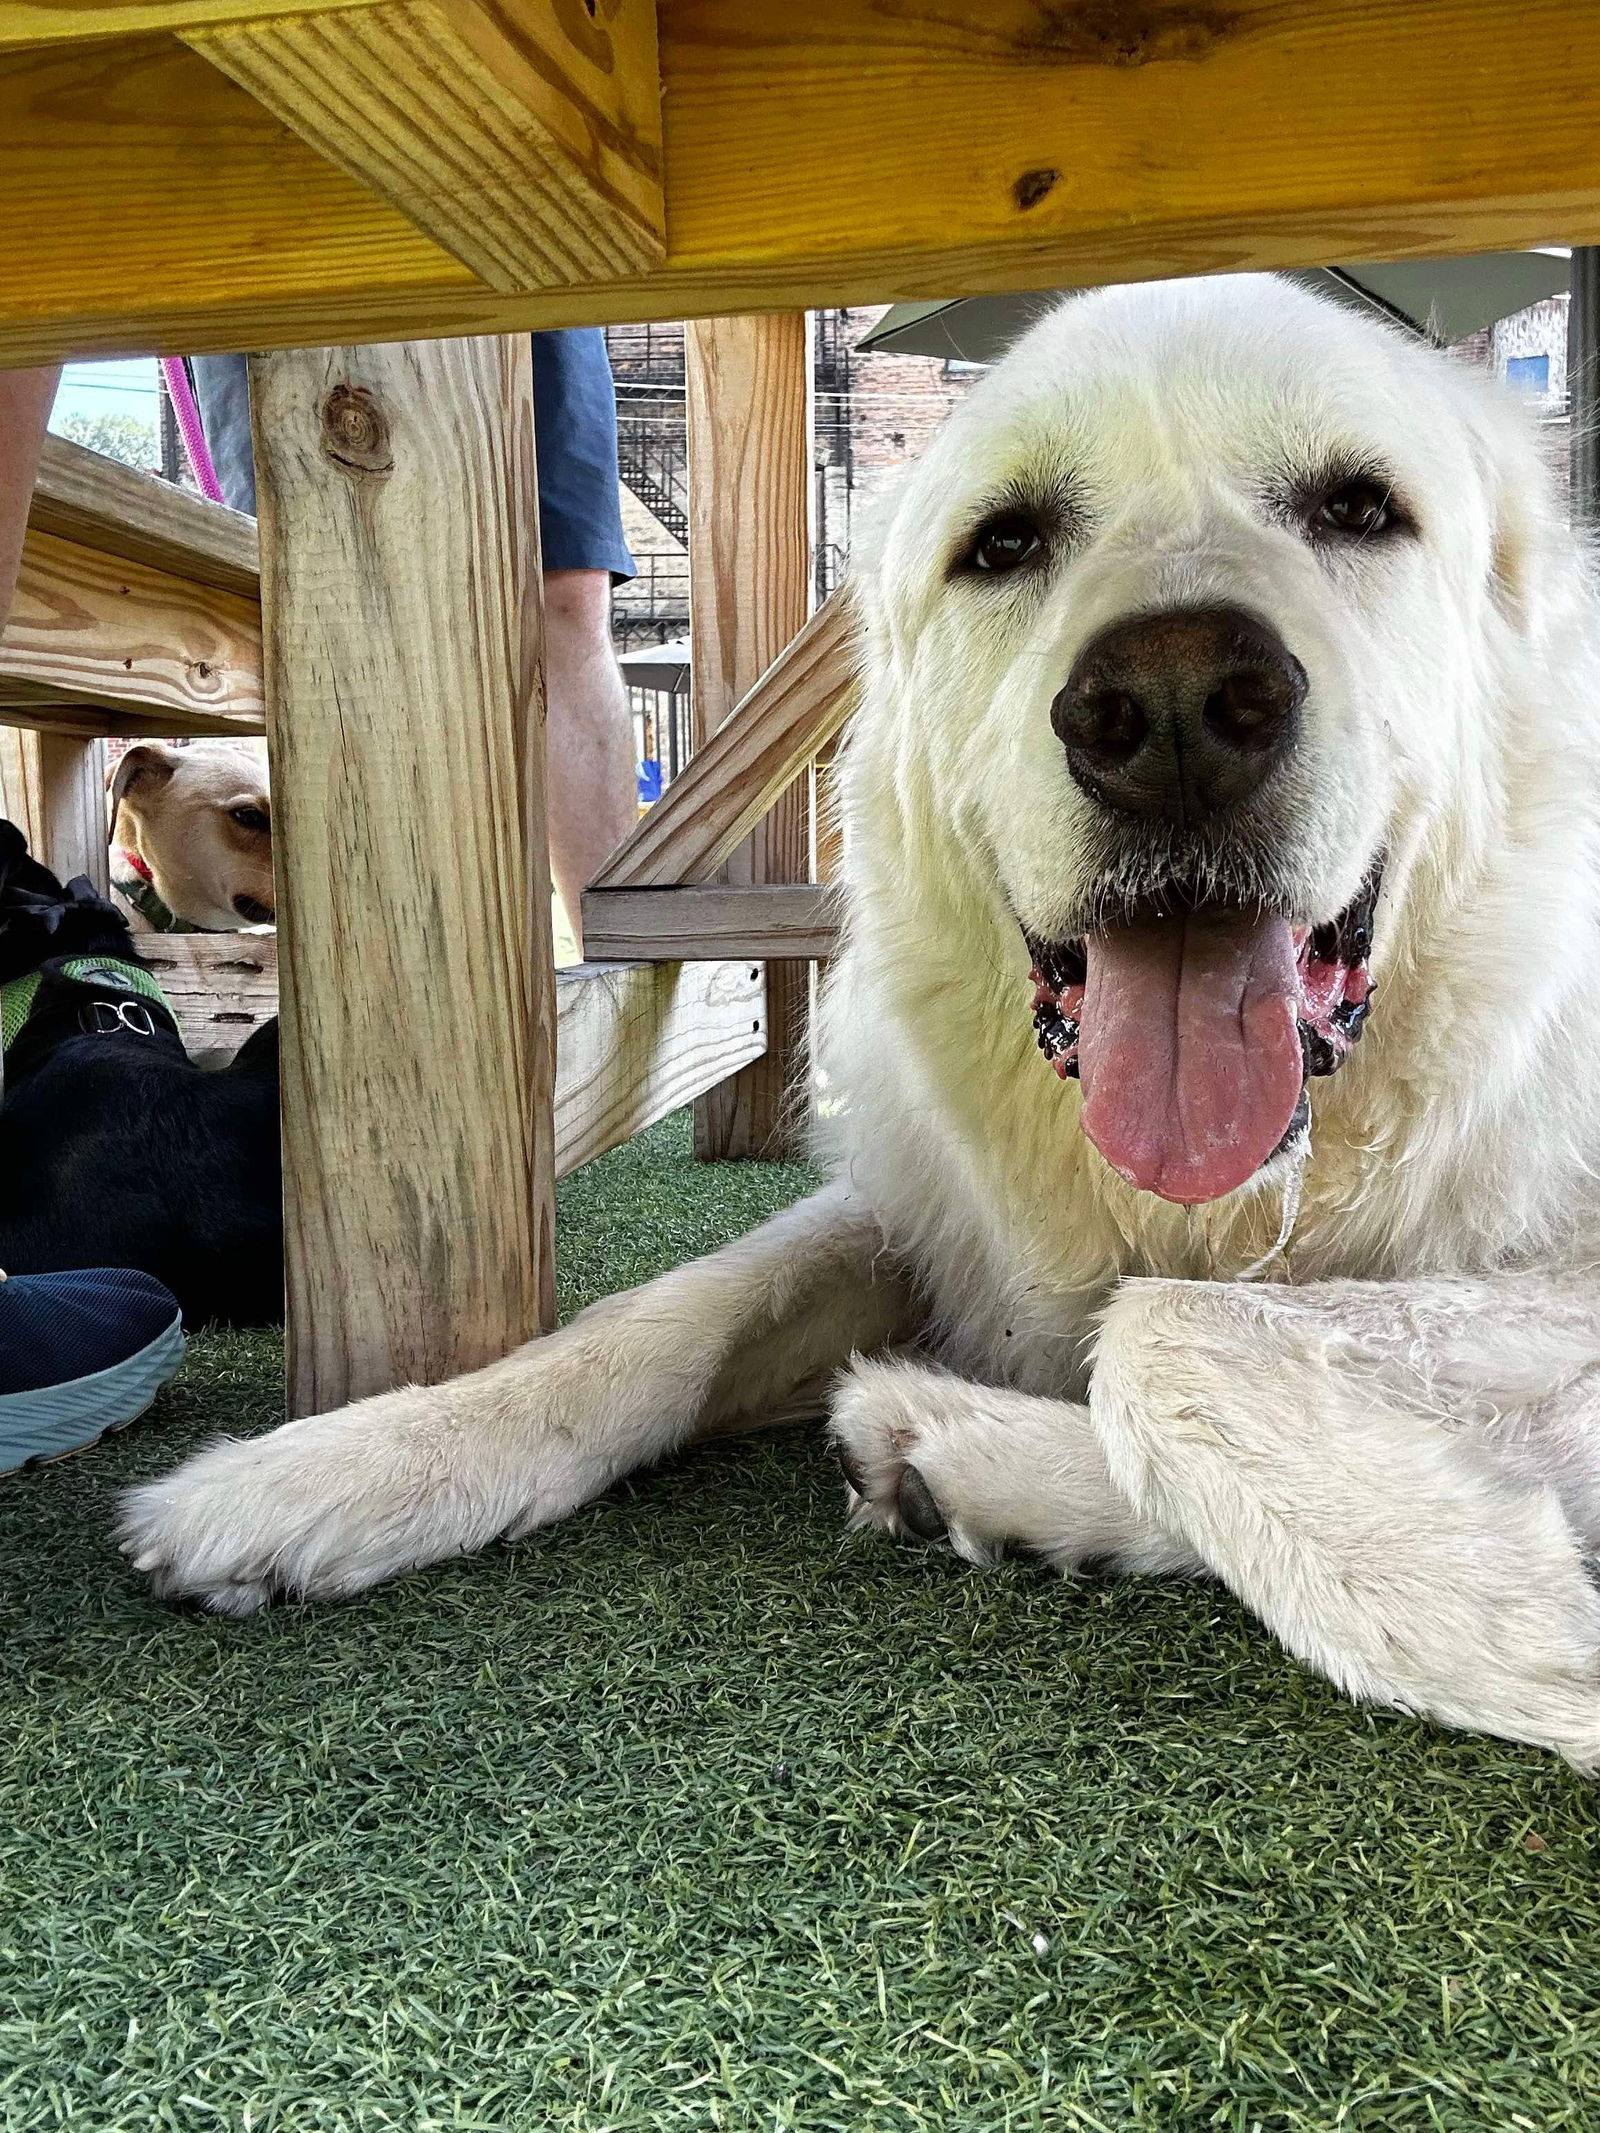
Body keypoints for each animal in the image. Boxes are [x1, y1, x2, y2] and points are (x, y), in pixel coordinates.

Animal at [118, 275, 1600, 1757]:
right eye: (1005, 542)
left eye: (1358, 508)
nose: (1176, 706)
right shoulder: (912, 1199)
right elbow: (669, 1314)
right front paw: (338, 1465)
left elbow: (1161, 1333)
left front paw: (1484, 1610)